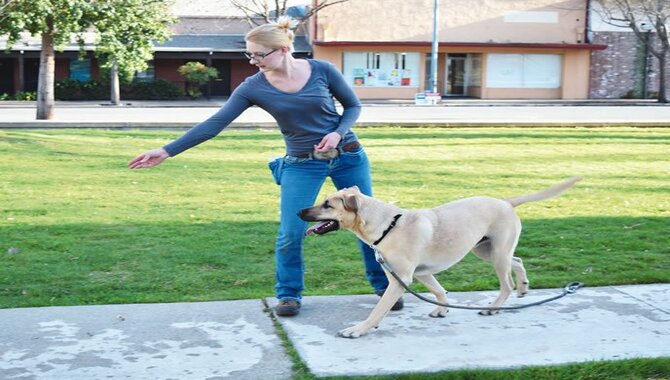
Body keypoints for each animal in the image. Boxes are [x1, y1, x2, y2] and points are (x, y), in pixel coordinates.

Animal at [300, 177, 584, 336]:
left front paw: (358, 330)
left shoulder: (400, 280)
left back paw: (494, 307)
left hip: (497, 255)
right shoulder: (422, 273)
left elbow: (378, 310)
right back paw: (524, 287)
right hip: (487, 250)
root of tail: (506, 201)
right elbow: (439, 290)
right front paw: (442, 309)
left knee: (506, 284)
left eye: (328, 204)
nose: (298, 212)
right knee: (518, 261)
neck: (387, 226)